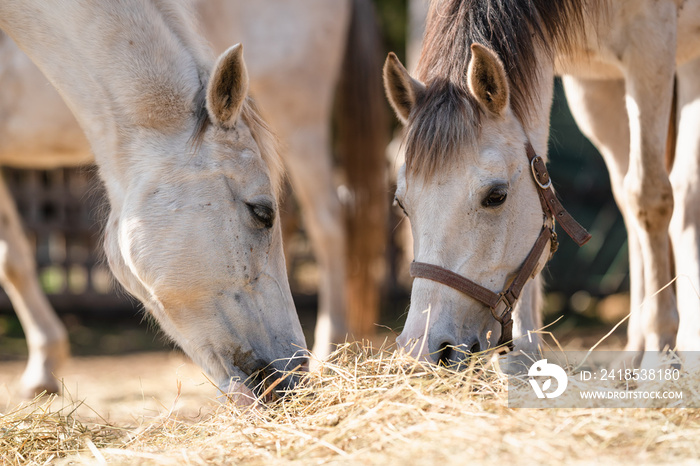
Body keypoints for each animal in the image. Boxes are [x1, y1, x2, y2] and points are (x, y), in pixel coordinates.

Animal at [386, 0, 700, 364]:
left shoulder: (650, 42)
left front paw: (659, 347)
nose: (421, 348)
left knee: (680, 193)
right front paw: (520, 357)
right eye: (402, 205)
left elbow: (649, 198)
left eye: (496, 196)